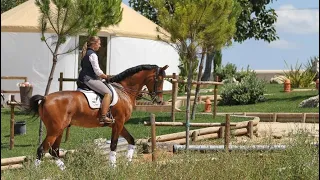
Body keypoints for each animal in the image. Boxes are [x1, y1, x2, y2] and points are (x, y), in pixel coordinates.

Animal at [28, 64, 169, 169]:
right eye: (159, 79)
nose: (160, 101)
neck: (123, 90)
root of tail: (45, 98)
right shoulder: (118, 123)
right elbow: (113, 145)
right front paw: (113, 168)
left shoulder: (117, 124)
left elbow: (131, 140)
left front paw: (128, 164)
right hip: (55, 129)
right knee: (42, 150)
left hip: (60, 129)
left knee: (54, 150)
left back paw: (65, 171)